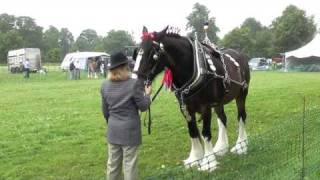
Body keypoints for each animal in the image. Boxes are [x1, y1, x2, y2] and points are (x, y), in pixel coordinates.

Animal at [135, 26, 250, 170]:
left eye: (152, 53)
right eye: (137, 51)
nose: (137, 80)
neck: (193, 67)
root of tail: (241, 55)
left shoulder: (205, 107)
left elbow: (205, 132)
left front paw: (209, 162)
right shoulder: (185, 107)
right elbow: (193, 131)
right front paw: (195, 158)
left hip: (241, 95)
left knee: (241, 116)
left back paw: (241, 145)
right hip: (218, 102)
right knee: (223, 118)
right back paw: (221, 147)